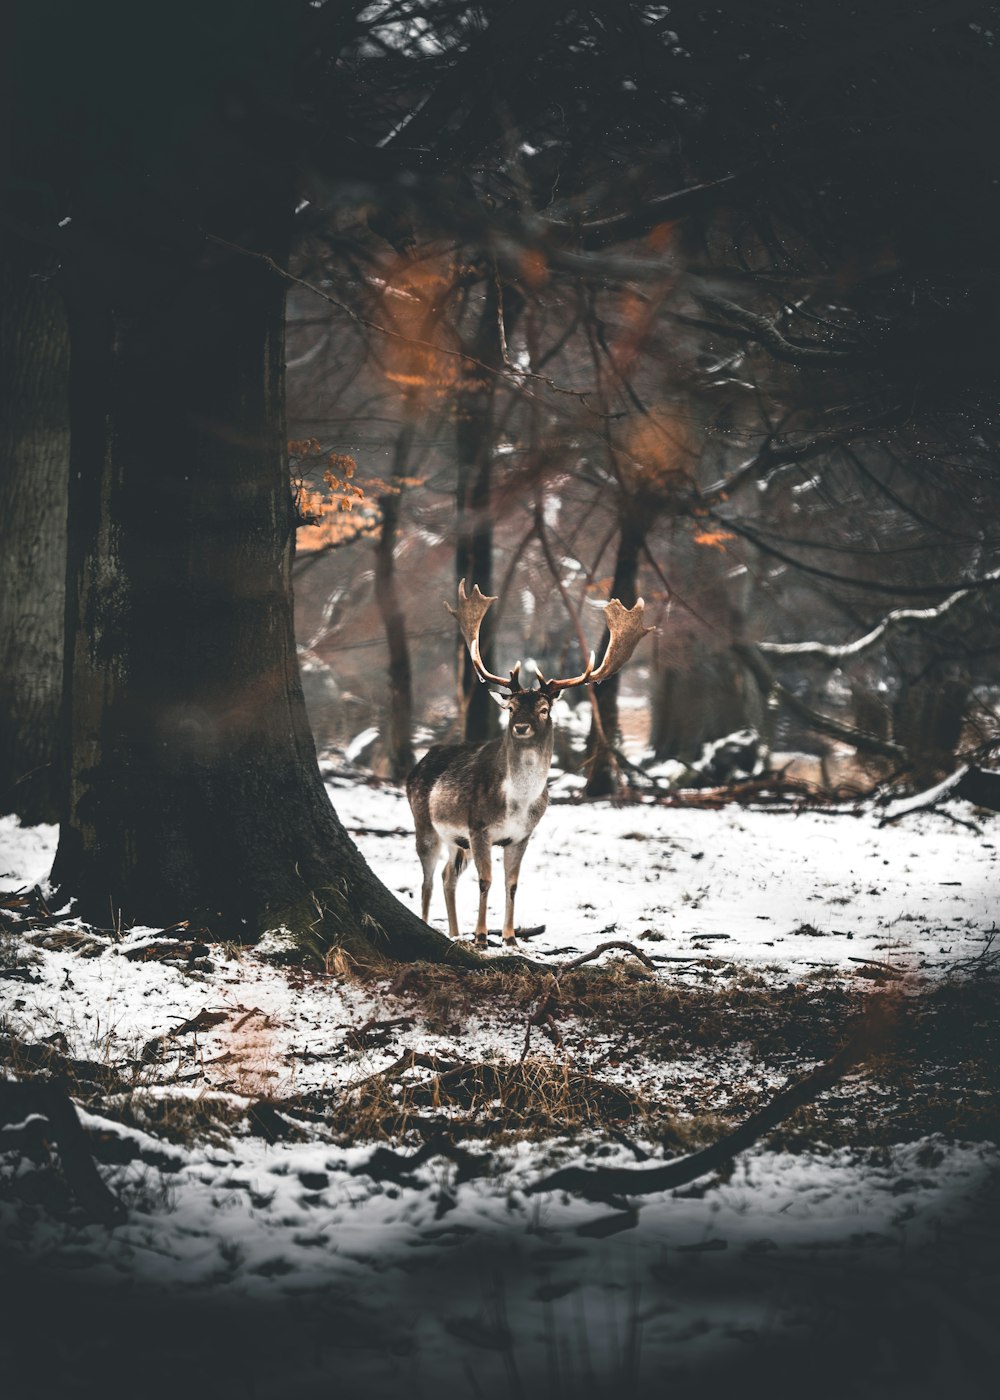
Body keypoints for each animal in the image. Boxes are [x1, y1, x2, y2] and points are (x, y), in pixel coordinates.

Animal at [406, 579, 655, 952]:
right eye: (510, 708)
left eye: (543, 708)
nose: (520, 727)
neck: (519, 802)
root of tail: (416, 765)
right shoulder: (479, 827)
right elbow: (486, 880)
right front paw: (483, 936)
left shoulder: (521, 835)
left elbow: (511, 883)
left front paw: (510, 937)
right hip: (425, 823)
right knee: (427, 880)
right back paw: (430, 925)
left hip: (456, 840)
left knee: (448, 875)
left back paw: (454, 933)